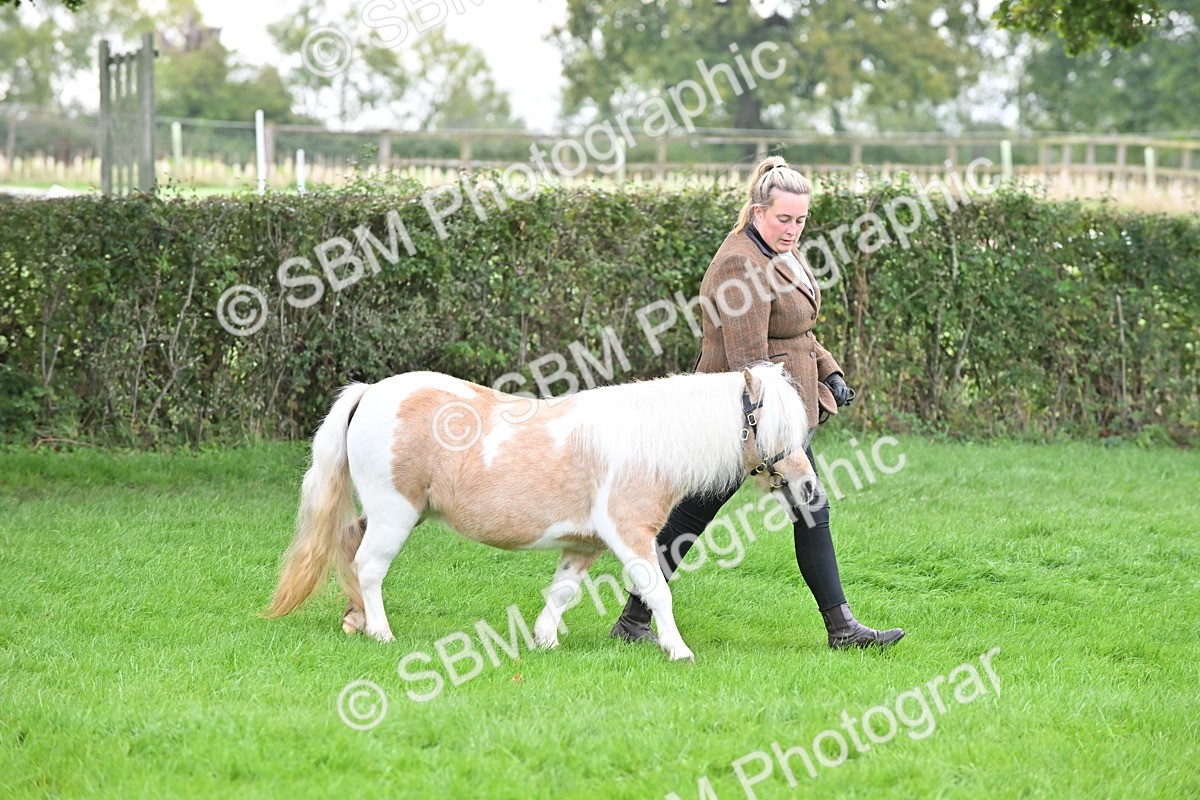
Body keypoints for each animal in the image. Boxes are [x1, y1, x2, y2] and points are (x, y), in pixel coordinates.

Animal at [265, 362, 817, 662]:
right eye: (774, 424)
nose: (808, 486)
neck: (647, 443)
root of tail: (371, 392)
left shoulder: (584, 545)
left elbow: (563, 592)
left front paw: (544, 641)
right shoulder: (629, 534)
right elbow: (658, 591)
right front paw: (678, 650)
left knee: (349, 546)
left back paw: (355, 620)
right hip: (394, 515)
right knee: (369, 566)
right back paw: (380, 631)